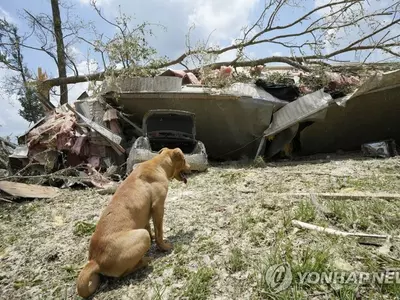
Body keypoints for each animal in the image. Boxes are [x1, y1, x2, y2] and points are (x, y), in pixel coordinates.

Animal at [77, 147, 192, 298]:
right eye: (184, 160)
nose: (191, 167)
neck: (158, 164)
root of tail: (95, 261)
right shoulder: (158, 207)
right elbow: (159, 232)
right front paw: (164, 247)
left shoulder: (147, 213)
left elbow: (150, 227)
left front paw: (154, 238)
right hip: (141, 236)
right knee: (125, 272)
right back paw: (145, 261)